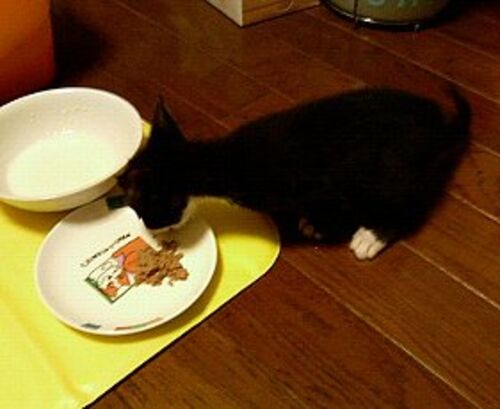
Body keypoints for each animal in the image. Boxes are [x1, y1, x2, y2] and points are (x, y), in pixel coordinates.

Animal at [118, 87, 470, 260]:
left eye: (141, 209)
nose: (150, 231)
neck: (221, 162)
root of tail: (438, 127)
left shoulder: (322, 188)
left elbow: (335, 208)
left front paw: (323, 226)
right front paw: (313, 224)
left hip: (393, 175)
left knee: (410, 206)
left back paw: (373, 235)